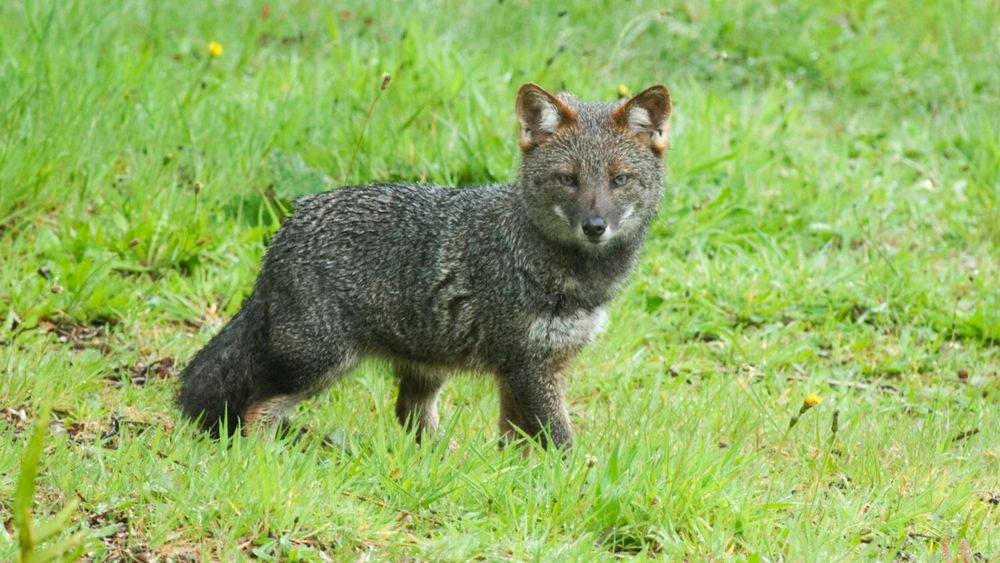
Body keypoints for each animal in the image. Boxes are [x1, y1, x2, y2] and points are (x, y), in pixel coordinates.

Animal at [177, 82, 672, 448]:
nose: (595, 226)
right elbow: (559, 440)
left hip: (426, 365)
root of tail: (287, 227)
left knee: (408, 414)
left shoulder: (532, 367)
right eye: (568, 180)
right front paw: (572, 481)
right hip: (321, 363)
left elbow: (515, 440)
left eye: (619, 180)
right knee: (256, 410)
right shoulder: (528, 366)